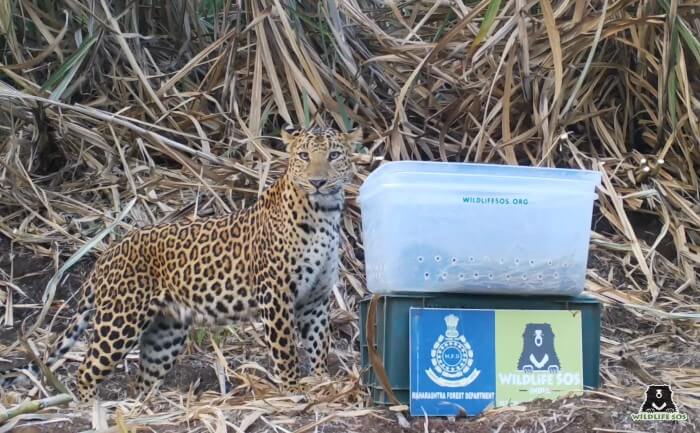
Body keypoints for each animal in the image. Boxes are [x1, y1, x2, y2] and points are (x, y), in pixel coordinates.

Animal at [0, 125, 360, 402]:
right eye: (303, 156)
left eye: (334, 155)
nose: (318, 182)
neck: (324, 213)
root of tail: (108, 253)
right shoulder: (276, 295)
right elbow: (285, 349)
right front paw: (292, 391)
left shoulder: (315, 299)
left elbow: (319, 343)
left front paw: (323, 383)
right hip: (120, 320)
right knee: (87, 371)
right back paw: (90, 410)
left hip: (165, 333)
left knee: (142, 380)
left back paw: (145, 408)